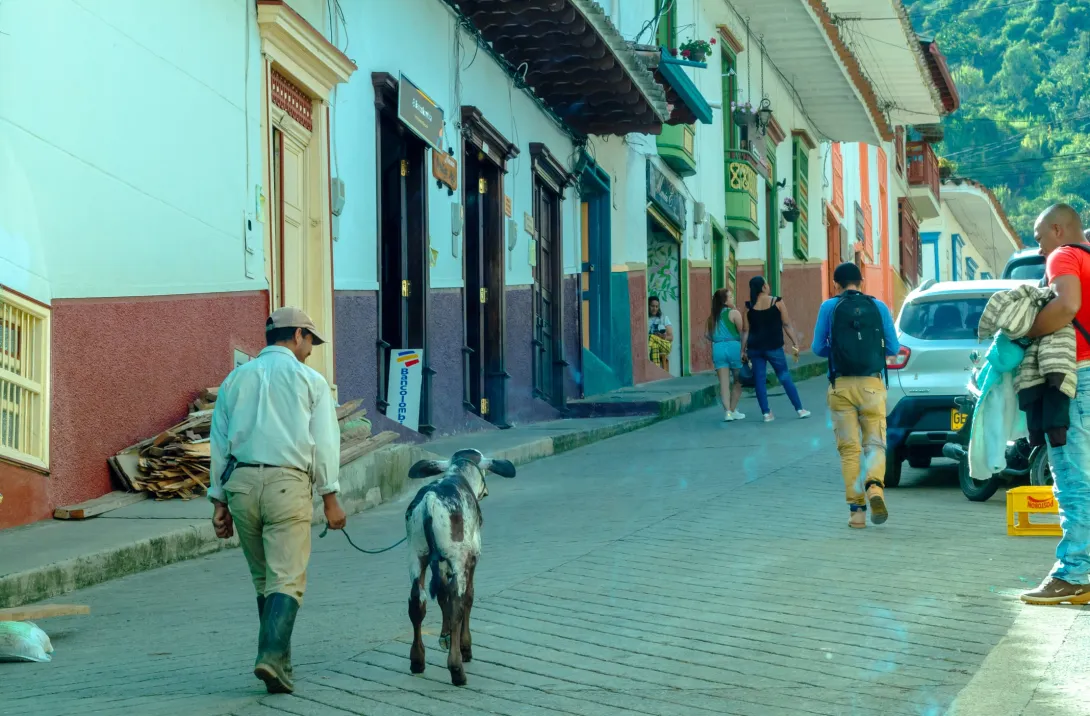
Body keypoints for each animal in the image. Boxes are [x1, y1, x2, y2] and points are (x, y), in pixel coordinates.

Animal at [405, 448, 514, 684]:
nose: (486, 491)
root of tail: (430, 500)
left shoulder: (441, 564)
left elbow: (442, 595)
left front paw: (445, 636)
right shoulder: (472, 557)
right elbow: (468, 597)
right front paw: (465, 646)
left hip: (416, 554)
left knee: (417, 602)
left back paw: (417, 660)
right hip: (457, 557)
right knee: (458, 602)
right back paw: (456, 669)